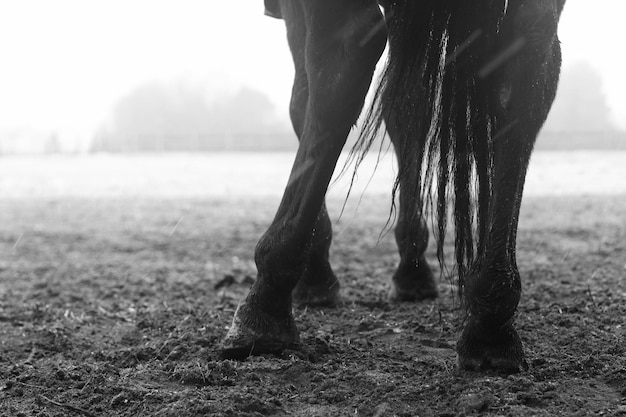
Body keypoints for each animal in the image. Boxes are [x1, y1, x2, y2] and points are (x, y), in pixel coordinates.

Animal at [218, 0, 560, 372]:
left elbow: (301, 102)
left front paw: (315, 276)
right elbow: (407, 111)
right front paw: (412, 271)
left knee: (340, 63)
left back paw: (263, 310)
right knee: (526, 67)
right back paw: (491, 325)